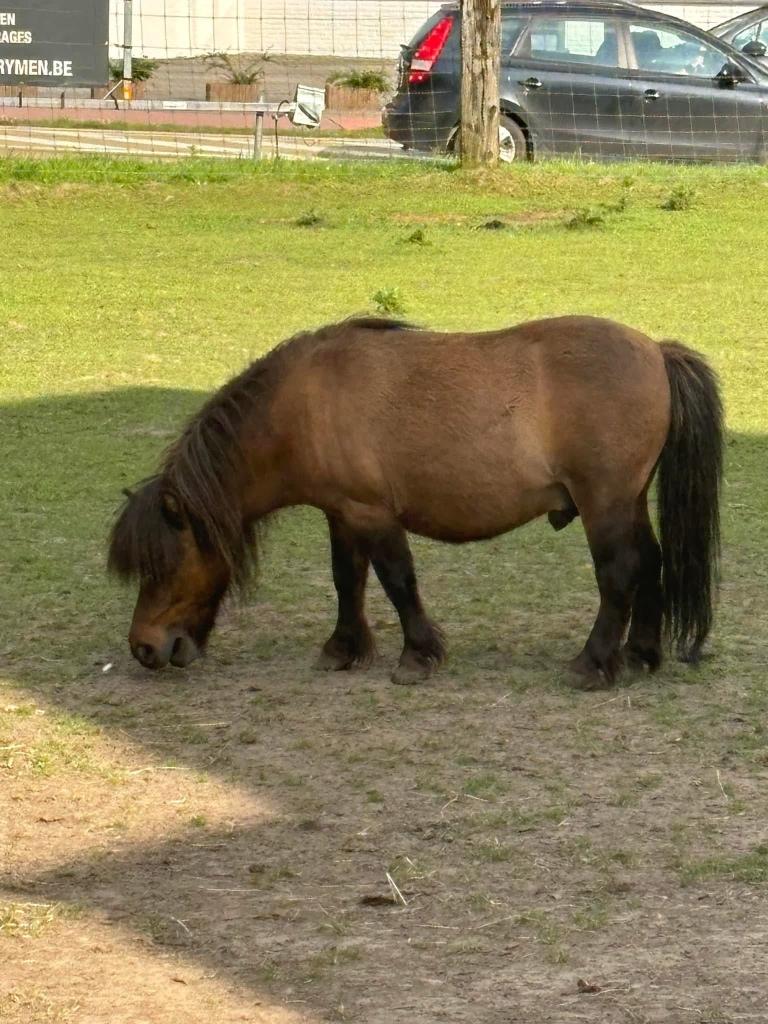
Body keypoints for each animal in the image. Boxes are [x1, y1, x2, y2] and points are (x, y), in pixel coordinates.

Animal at [108, 315, 723, 690]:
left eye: (163, 565)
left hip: (605, 505)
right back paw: (640, 654)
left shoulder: (374, 514)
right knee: (651, 564)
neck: (302, 404)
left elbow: (398, 582)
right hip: (629, 502)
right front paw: (343, 648)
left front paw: (417, 656)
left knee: (620, 574)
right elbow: (348, 582)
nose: (143, 648)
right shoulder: (342, 514)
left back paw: (592, 664)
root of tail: (656, 351)